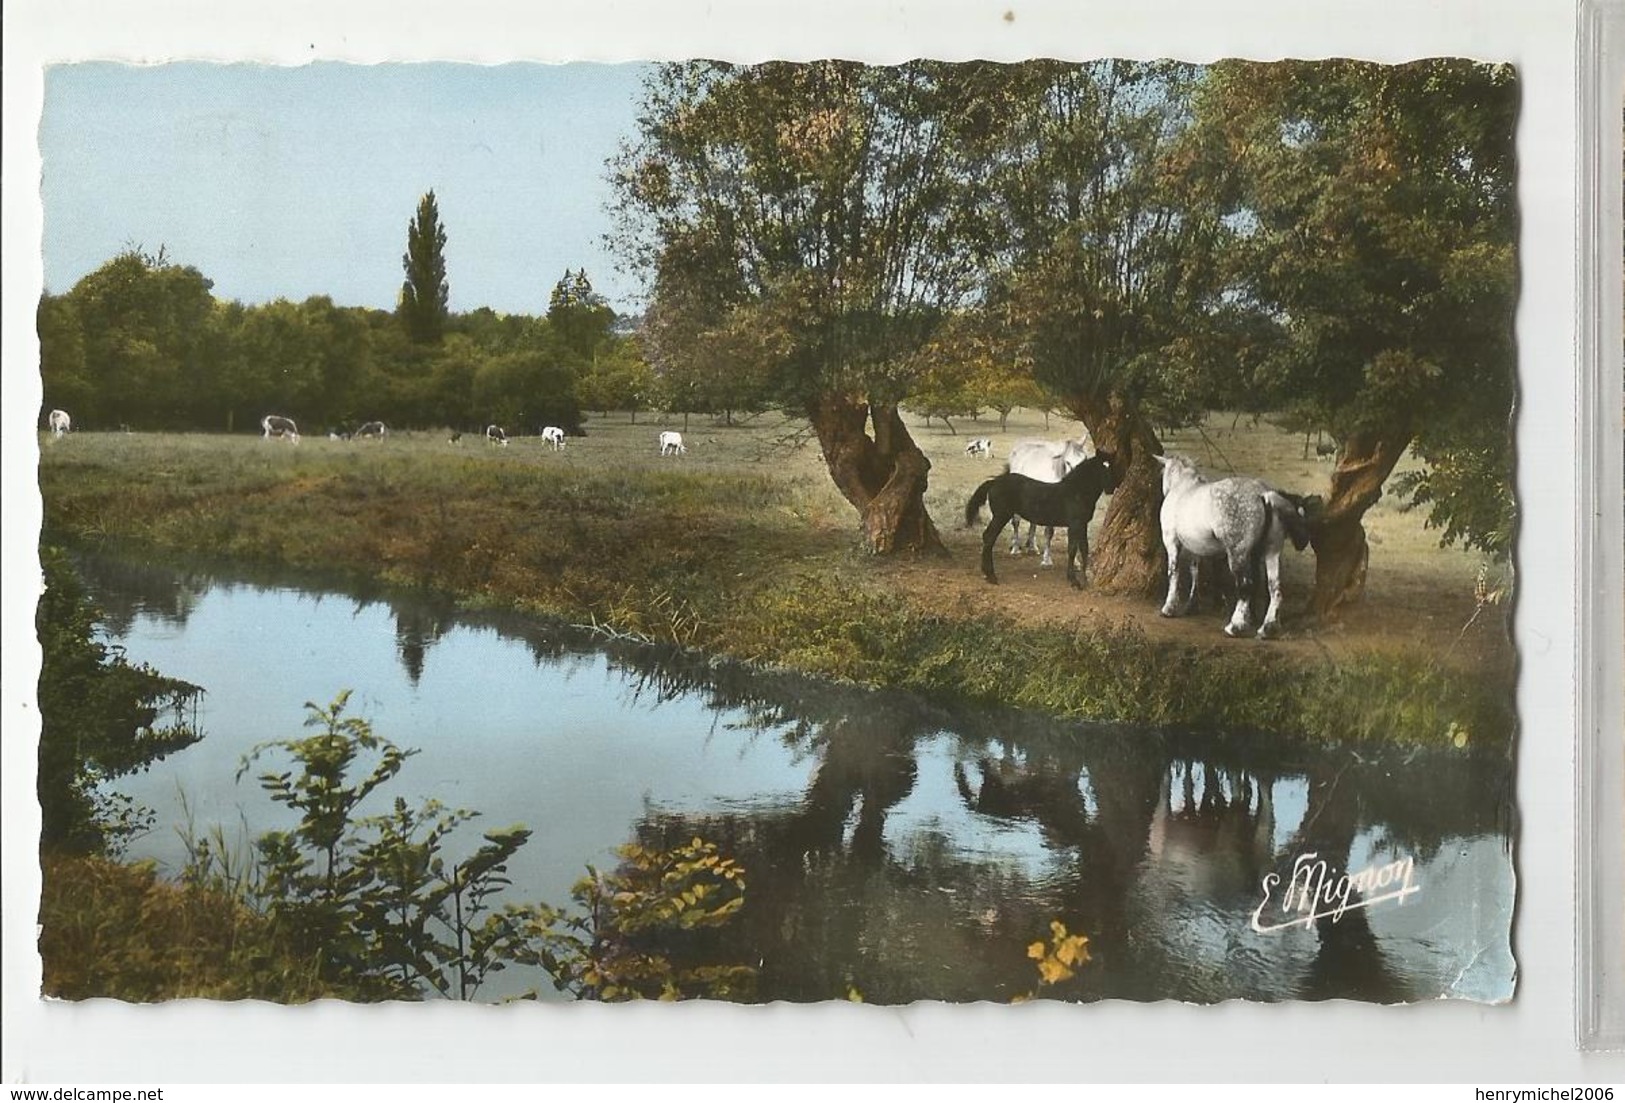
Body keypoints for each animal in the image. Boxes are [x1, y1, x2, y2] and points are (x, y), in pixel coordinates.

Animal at [962, 451, 1118, 591]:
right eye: (1101, 467)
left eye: (1111, 466)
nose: (1111, 488)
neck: (1076, 492)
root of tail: (994, 481)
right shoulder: (1074, 525)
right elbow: (1072, 549)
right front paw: (1074, 581)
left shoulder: (1082, 525)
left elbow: (1084, 549)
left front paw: (1085, 580)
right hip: (1001, 516)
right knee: (989, 537)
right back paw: (991, 576)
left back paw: (987, 574)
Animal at [1001, 435, 1092, 565]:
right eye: (1068, 462)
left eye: (1084, 460)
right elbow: (1049, 532)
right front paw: (1046, 559)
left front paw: (1076, 562)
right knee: (1016, 521)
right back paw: (1015, 548)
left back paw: (1032, 547)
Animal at [1150, 451, 1313, 640]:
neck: (1183, 488)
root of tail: (1262, 494)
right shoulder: (1196, 547)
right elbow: (1195, 571)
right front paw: (1192, 605)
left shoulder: (1172, 542)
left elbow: (1173, 572)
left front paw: (1169, 608)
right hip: (1270, 552)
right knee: (1275, 588)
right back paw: (1267, 628)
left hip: (1238, 553)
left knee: (1245, 586)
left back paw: (1235, 627)